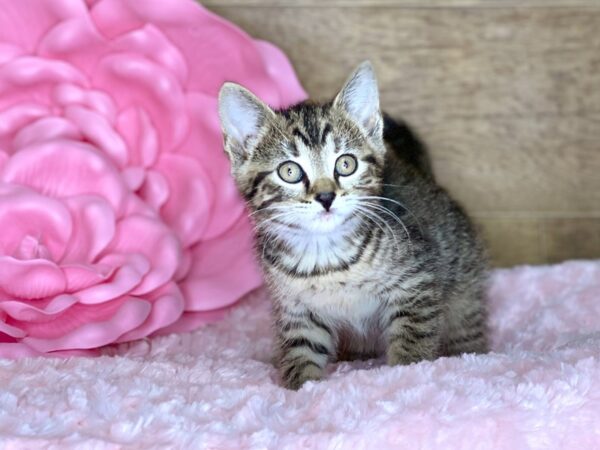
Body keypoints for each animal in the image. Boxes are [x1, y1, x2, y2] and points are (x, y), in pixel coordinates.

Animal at [218, 60, 490, 390]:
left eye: (346, 164)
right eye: (290, 171)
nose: (325, 196)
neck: (326, 257)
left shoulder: (417, 286)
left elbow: (413, 342)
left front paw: (408, 372)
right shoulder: (298, 312)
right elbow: (300, 357)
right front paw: (300, 386)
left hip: (464, 288)